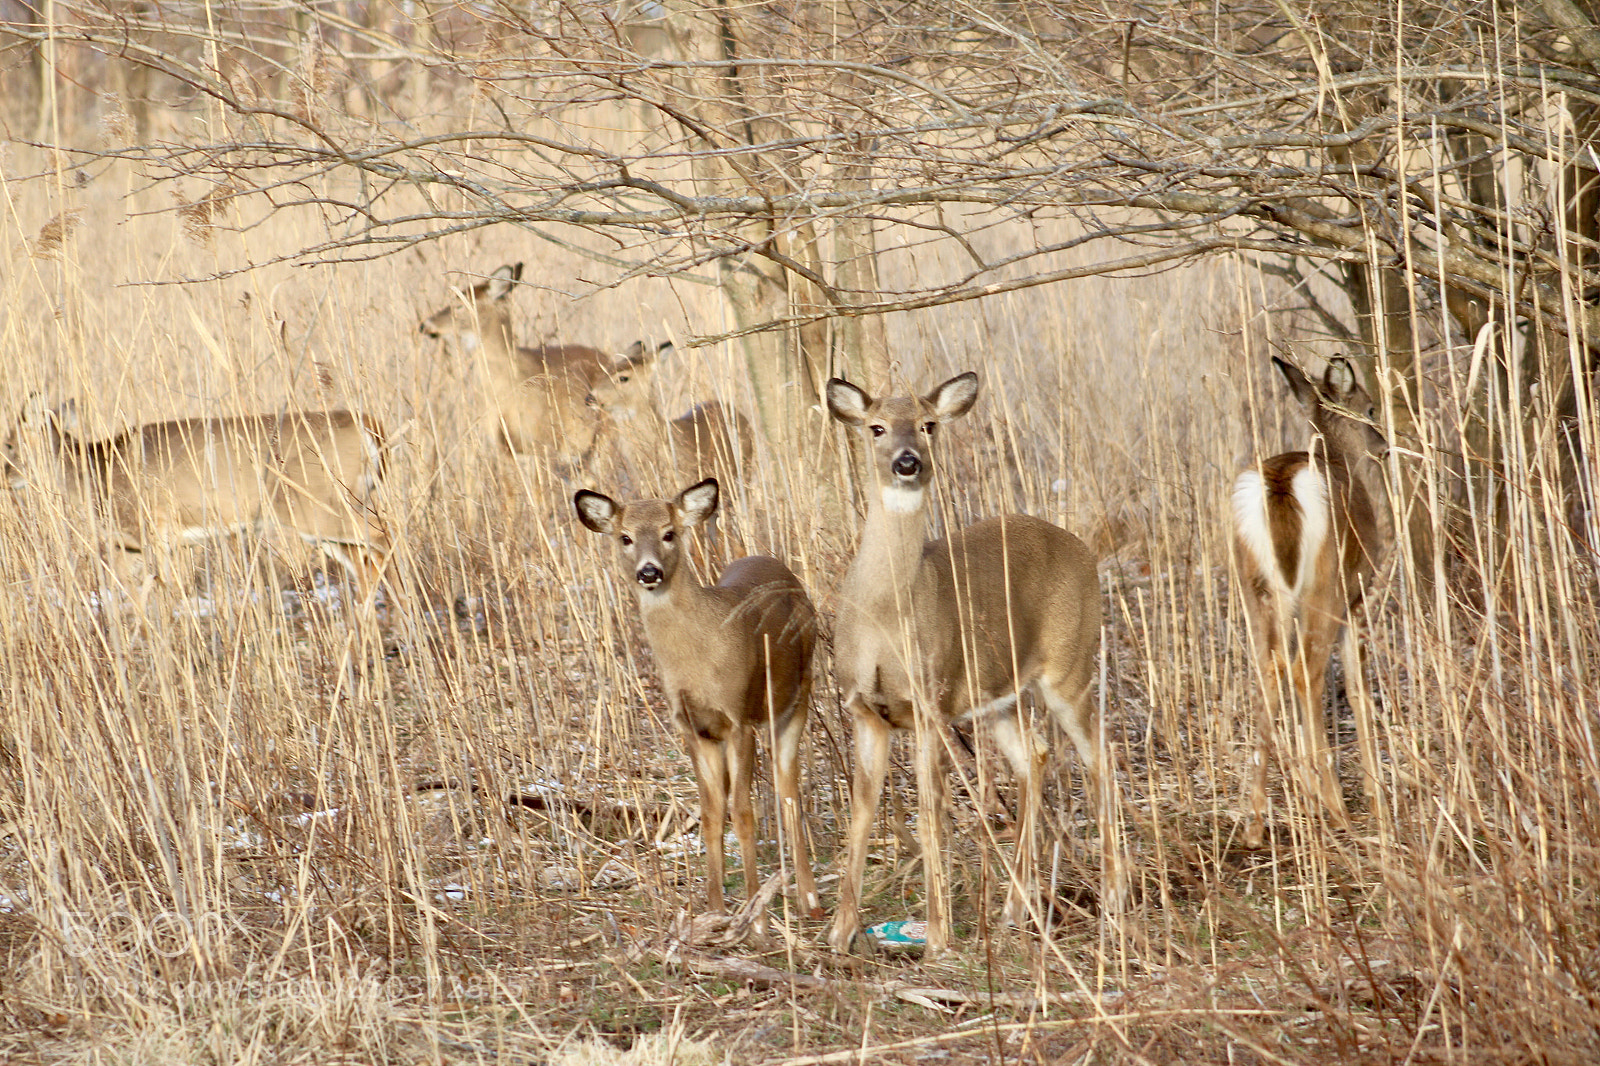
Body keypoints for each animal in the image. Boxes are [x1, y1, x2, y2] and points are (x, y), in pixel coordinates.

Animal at [2, 395, 392, 606]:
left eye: (8, 442)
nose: (5, 477)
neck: (100, 469)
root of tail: (370, 426)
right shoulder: (130, 543)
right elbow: (135, 594)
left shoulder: (155, 529)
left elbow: (165, 593)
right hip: (328, 516)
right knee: (365, 560)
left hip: (317, 505)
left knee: (383, 535)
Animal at [574, 477, 822, 921]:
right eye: (625, 537)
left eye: (669, 533)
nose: (649, 571)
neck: (699, 656)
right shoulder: (693, 728)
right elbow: (710, 814)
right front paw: (716, 910)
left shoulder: (738, 717)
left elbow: (742, 812)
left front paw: (755, 917)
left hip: (796, 698)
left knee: (788, 791)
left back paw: (811, 901)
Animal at [824, 371, 1104, 957]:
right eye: (876, 426)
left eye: (928, 424)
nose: (908, 461)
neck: (884, 617)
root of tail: (1082, 549)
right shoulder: (865, 709)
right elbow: (862, 811)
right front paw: (838, 932)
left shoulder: (928, 703)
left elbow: (932, 815)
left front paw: (937, 937)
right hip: (995, 696)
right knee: (1036, 756)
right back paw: (1013, 910)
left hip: (1070, 665)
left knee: (1098, 758)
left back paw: (1113, 893)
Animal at [1232, 356, 1391, 848]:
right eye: (1371, 408)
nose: (1384, 448)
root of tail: (1280, 485)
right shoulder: (1358, 596)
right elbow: (1358, 688)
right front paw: (1374, 796)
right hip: (1325, 587)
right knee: (1305, 672)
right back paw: (1337, 810)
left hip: (1255, 589)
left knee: (1269, 673)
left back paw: (1255, 824)